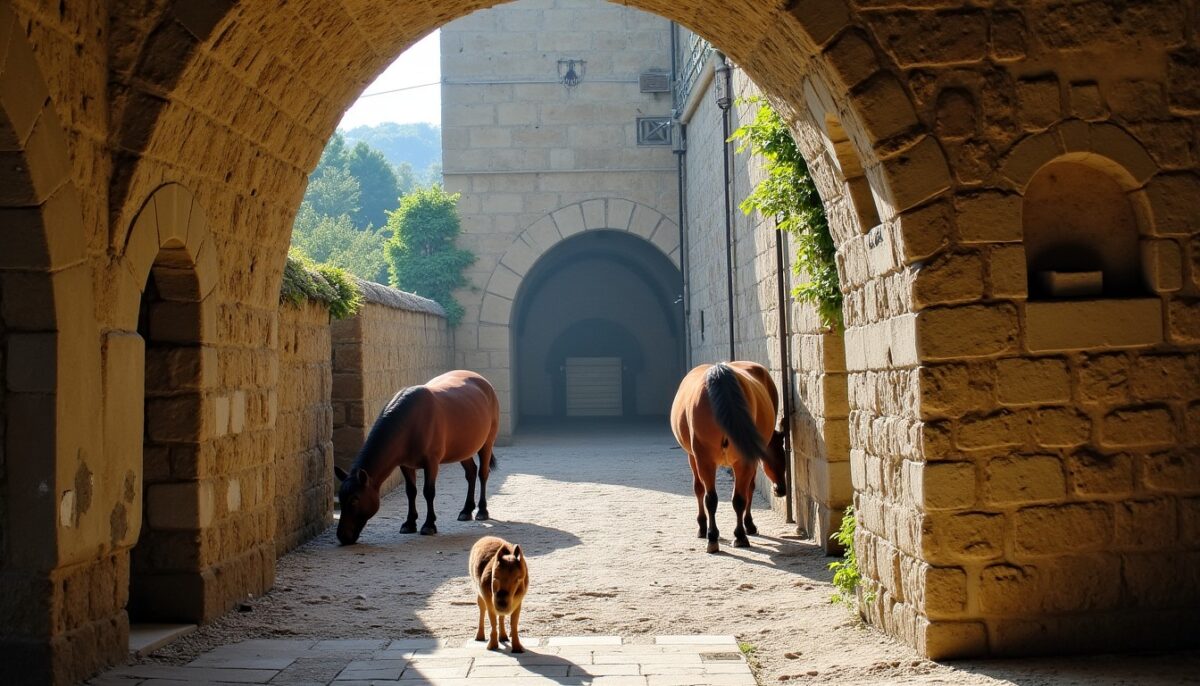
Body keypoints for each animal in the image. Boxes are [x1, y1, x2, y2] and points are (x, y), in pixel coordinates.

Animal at [333, 369, 500, 545]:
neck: (411, 422)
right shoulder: (406, 465)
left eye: (355, 499)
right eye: (341, 498)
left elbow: (428, 492)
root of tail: (483, 382)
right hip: (463, 449)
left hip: (487, 444)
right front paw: (409, 523)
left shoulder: (431, 463)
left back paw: (482, 511)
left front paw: (429, 525)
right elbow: (411, 491)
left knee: (482, 473)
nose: (343, 536)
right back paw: (466, 510)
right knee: (471, 473)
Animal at [670, 361, 788, 553]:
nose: (781, 489)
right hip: (698, 459)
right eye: (777, 459)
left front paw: (738, 535)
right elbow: (713, 495)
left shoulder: (740, 461)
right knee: (702, 491)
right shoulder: (703, 459)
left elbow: (737, 498)